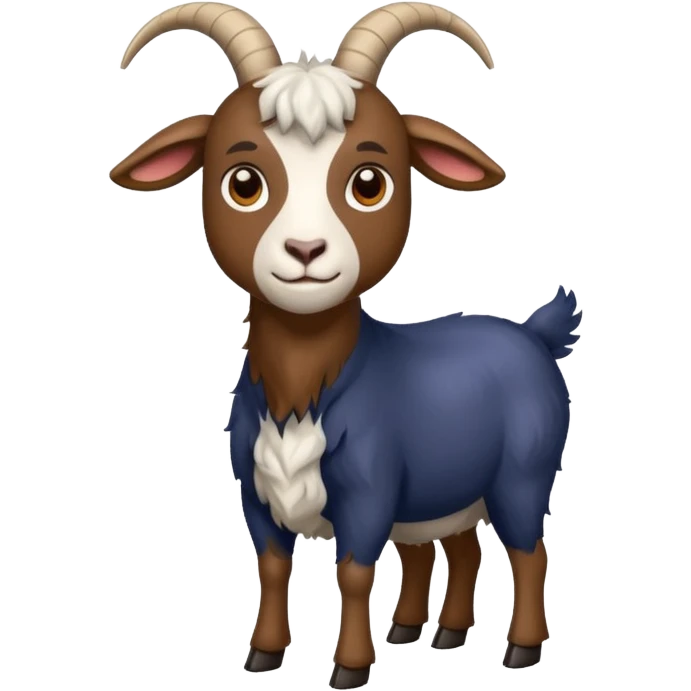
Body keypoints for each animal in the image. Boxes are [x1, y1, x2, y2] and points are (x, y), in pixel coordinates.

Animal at [109, 1, 581, 686]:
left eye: (370, 181)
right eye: (242, 181)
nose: (306, 251)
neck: (307, 389)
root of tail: (532, 333)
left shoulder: (370, 490)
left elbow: (355, 574)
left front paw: (351, 668)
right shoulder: (256, 496)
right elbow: (273, 567)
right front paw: (262, 654)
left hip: (523, 472)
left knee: (528, 550)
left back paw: (520, 649)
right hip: (443, 490)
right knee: (456, 550)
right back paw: (430, 633)